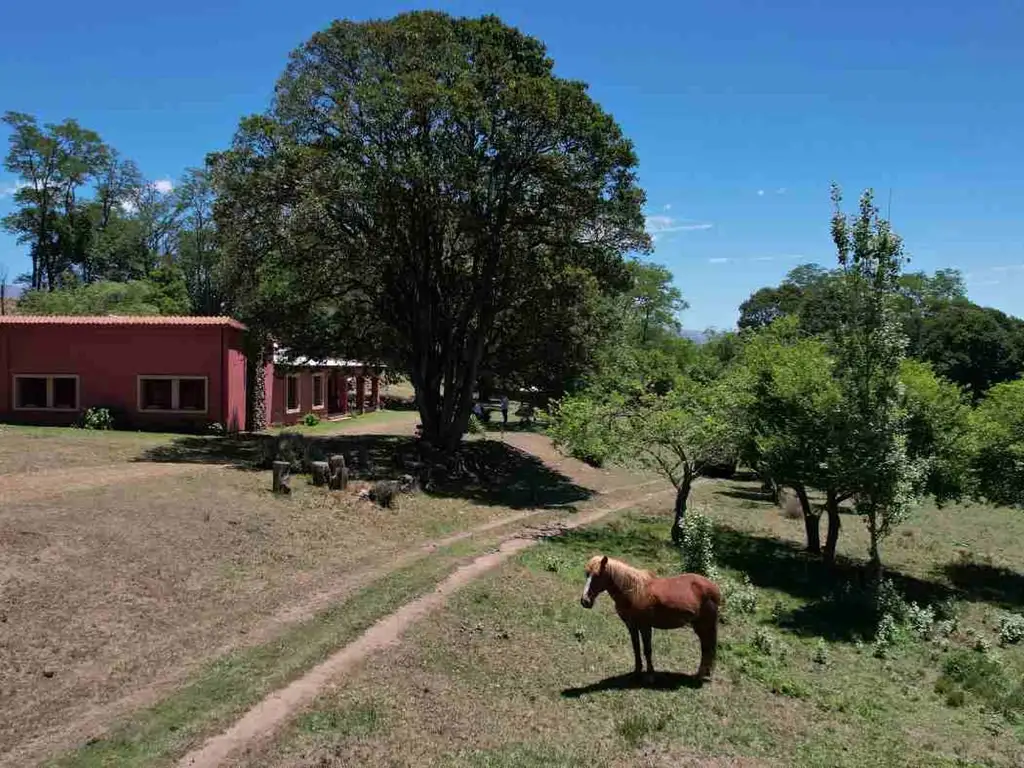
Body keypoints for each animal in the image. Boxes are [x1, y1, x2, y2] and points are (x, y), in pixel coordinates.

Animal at [585, 557, 720, 684]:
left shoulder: (645, 626)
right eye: (586, 574)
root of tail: (714, 588)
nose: (585, 601)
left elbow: (647, 650)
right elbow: (636, 648)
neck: (635, 591)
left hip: (704, 625)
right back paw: (705, 673)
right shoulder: (631, 626)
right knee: (706, 647)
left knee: (706, 647)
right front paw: (637, 673)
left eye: (598, 575)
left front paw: (650, 676)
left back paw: (699, 676)